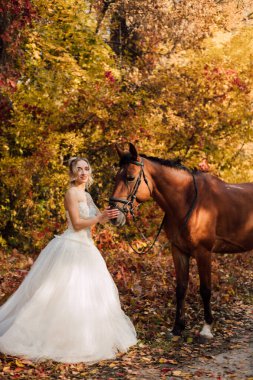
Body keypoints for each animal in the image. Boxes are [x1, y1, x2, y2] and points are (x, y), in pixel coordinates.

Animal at [109, 142, 253, 338]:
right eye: (116, 177)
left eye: (130, 177)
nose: (113, 215)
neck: (188, 200)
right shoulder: (178, 250)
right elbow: (181, 288)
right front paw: (178, 326)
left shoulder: (203, 252)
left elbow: (205, 289)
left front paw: (206, 328)